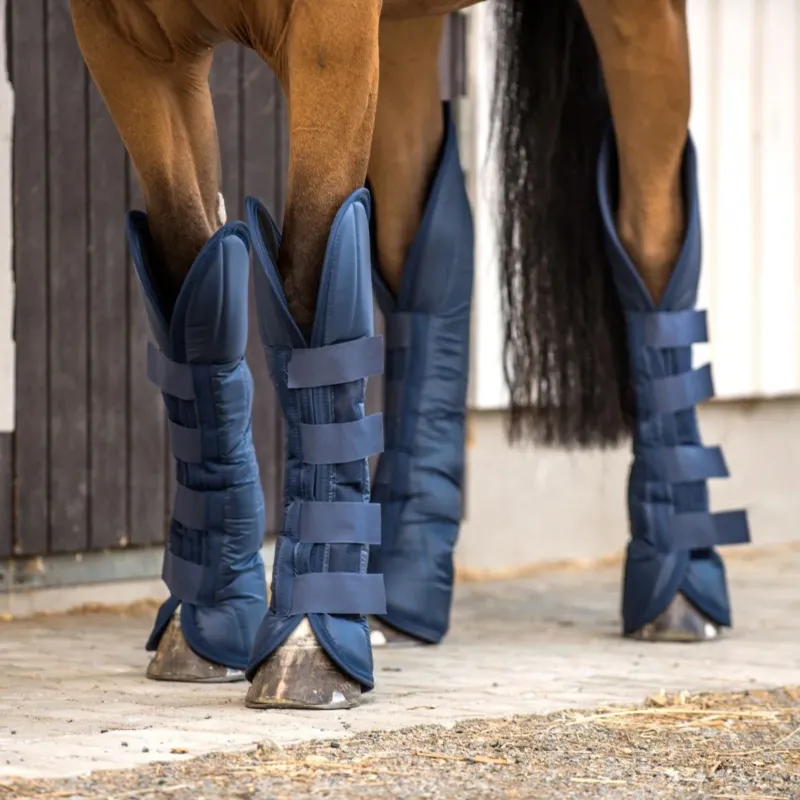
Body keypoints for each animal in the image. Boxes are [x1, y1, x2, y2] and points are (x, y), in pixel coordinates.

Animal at [68, 0, 750, 710]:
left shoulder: (325, 42)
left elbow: (309, 277)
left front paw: (306, 643)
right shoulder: (130, 48)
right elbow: (191, 285)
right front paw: (210, 621)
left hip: (634, 21)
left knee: (653, 232)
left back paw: (678, 588)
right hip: (402, 33)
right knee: (426, 240)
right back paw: (403, 597)